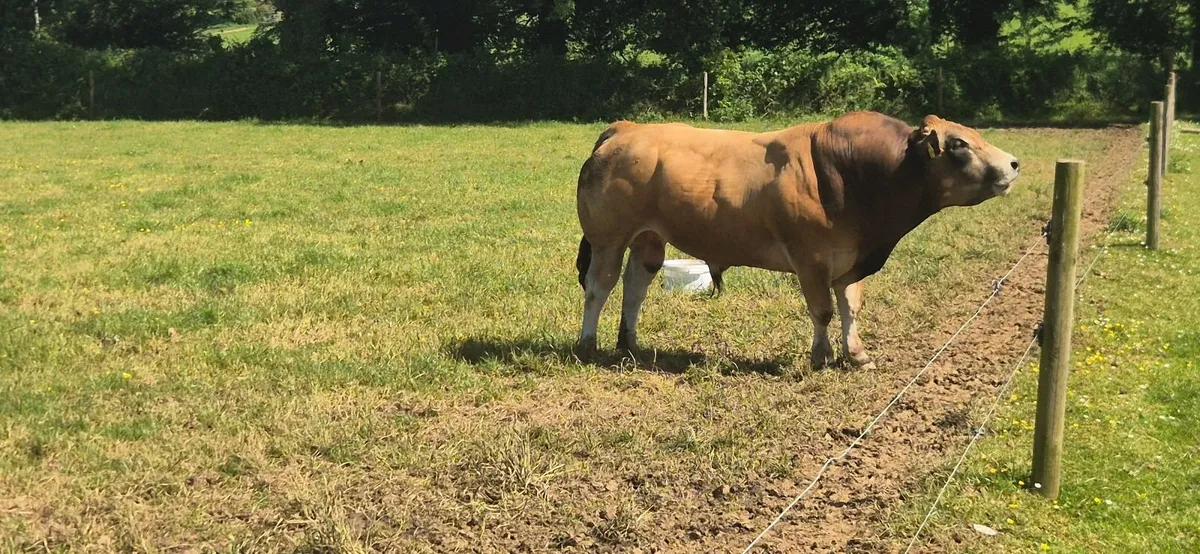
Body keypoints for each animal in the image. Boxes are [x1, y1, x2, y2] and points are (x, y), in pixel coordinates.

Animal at [573, 112, 1021, 370]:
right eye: (959, 144)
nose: (1014, 164)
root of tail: (627, 129)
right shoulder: (812, 259)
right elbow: (822, 311)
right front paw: (821, 357)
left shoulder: (850, 260)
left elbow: (851, 307)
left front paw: (857, 355)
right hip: (609, 238)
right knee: (599, 288)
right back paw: (588, 344)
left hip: (648, 239)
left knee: (635, 286)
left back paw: (630, 344)